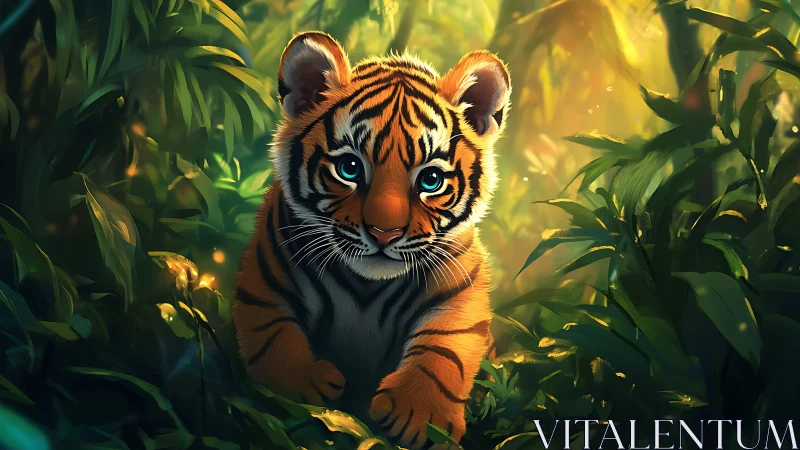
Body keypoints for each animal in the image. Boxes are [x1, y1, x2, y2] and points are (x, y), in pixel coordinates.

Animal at [232, 31, 510, 449]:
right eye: (349, 168)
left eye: (430, 180)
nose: (384, 232)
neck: (367, 288)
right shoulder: (264, 280)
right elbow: (271, 335)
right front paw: (303, 387)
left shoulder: (460, 289)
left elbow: (446, 348)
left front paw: (419, 415)